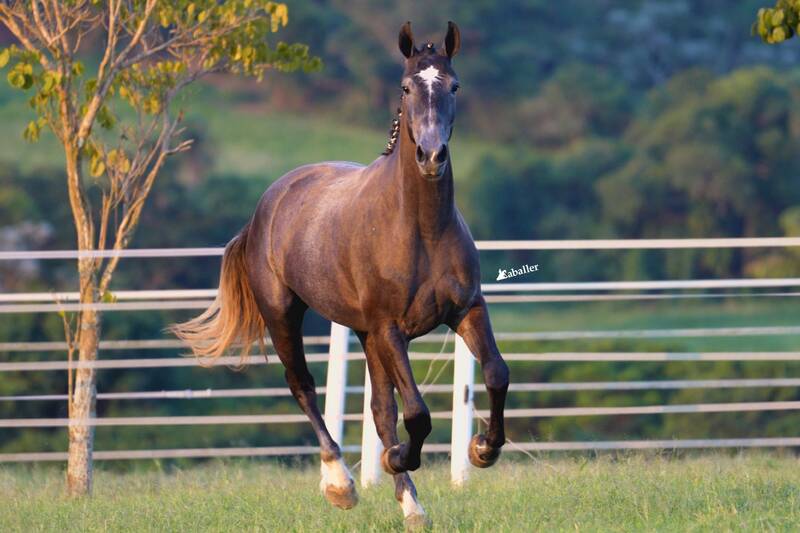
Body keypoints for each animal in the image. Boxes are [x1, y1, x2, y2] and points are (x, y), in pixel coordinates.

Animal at [173, 21, 512, 528]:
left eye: (454, 85)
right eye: (406, 86)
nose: (432, 156)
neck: (419, 229)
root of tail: (266, 206)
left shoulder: (466, 310)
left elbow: (494, 373)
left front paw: (482, 450)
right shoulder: (390, 328)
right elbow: (417, 413)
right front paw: (397, 458)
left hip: (365, 334)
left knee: (378, 409)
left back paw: (411, 505)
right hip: (285, 315)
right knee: (304, 386)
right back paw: (341, 484)